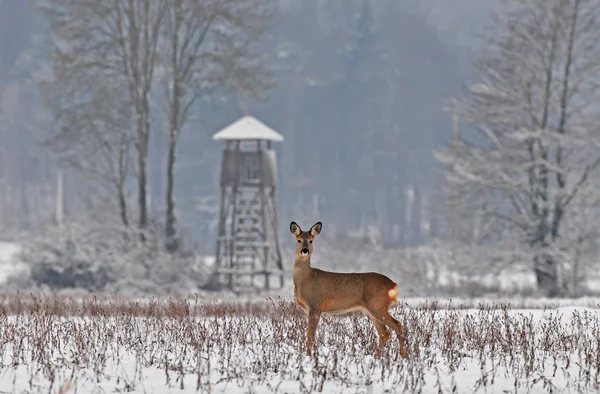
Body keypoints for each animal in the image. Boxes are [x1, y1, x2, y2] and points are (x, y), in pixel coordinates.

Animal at [290, 220, 408, 358]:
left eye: (311, 241)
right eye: (299, 240)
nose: (305, 250)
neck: (305, 279)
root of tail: (394, 285)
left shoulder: (315, 305)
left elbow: (310, 335)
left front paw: (309, 355)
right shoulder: (309, 309)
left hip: (377, 305)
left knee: (398, 325)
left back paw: (403, 355)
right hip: (371, 309)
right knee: (384, 333)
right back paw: (376, 357)